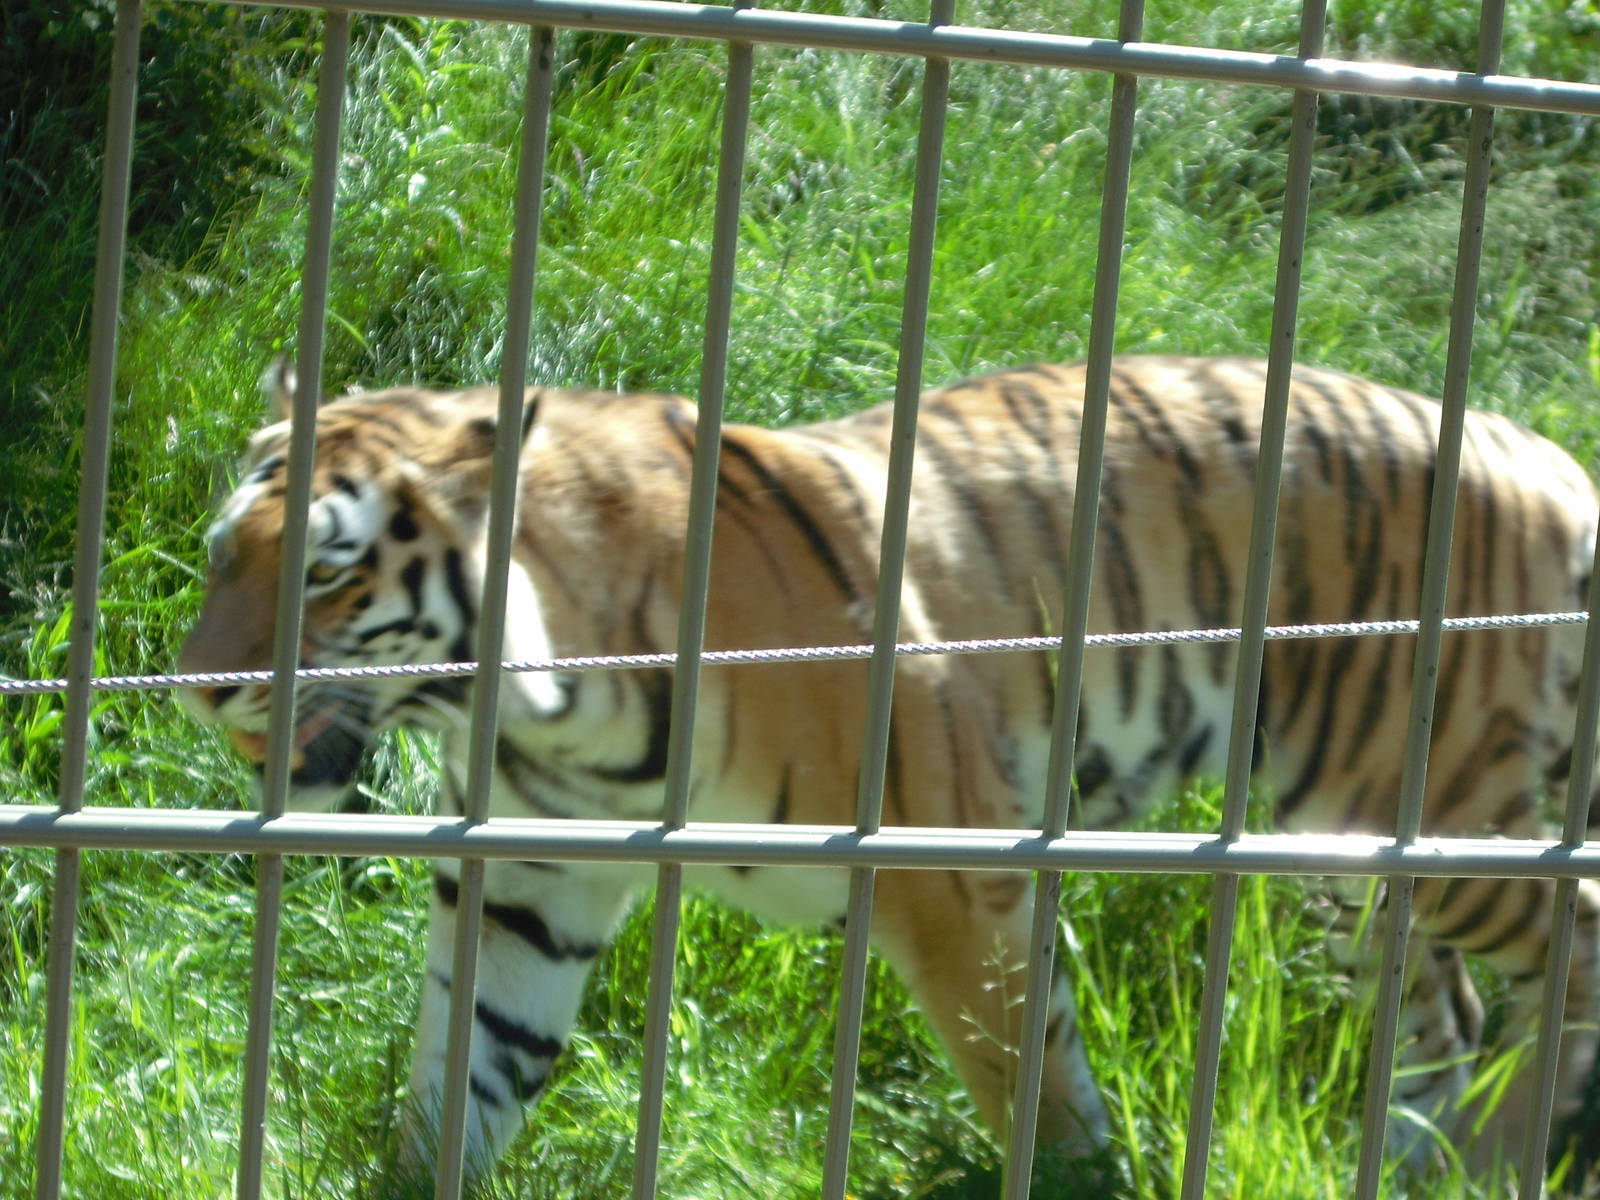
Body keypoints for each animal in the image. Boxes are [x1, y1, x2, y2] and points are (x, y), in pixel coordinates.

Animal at [177, 353, 1600, 1186]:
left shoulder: (948, 877)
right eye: (219, 555)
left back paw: (1502, 1152)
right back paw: (1422, 1162)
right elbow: (465, 1070)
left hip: (1425, 798)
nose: (197, 687)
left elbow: (1034, 1087)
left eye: (328, 573)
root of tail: (1544, 455)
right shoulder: (529, 879)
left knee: (1570, 932)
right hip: (1343, 843)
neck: (547, 704)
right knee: (1442, 1015)